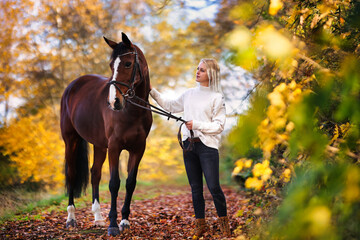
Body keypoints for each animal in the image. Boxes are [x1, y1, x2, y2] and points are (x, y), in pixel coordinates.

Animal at [60, 32, 152, 236]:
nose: (114, 102)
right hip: (71, 140)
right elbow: (114, 183)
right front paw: (113, 225)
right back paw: (71, 219)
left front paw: (124, 221)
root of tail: (73, 86)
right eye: (111, 65)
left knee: (94, 173)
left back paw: (98, 218)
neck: (132, 112)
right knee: (71, 174)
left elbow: (130, 183)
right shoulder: (115, 147)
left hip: (99, 145)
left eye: (128, 64)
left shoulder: (138, 149)